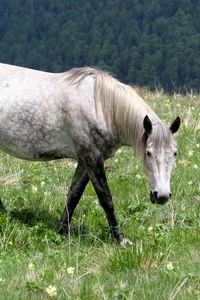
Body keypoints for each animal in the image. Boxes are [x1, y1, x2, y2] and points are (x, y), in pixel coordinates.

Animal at [0, 62, 180, 244]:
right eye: (148, 153)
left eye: (174, 153)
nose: (162, 196)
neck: (101, 108)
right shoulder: (92, 158)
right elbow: (106, 198)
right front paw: (120, 239)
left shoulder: (86, 161)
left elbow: (74, 195)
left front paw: (63, 231)